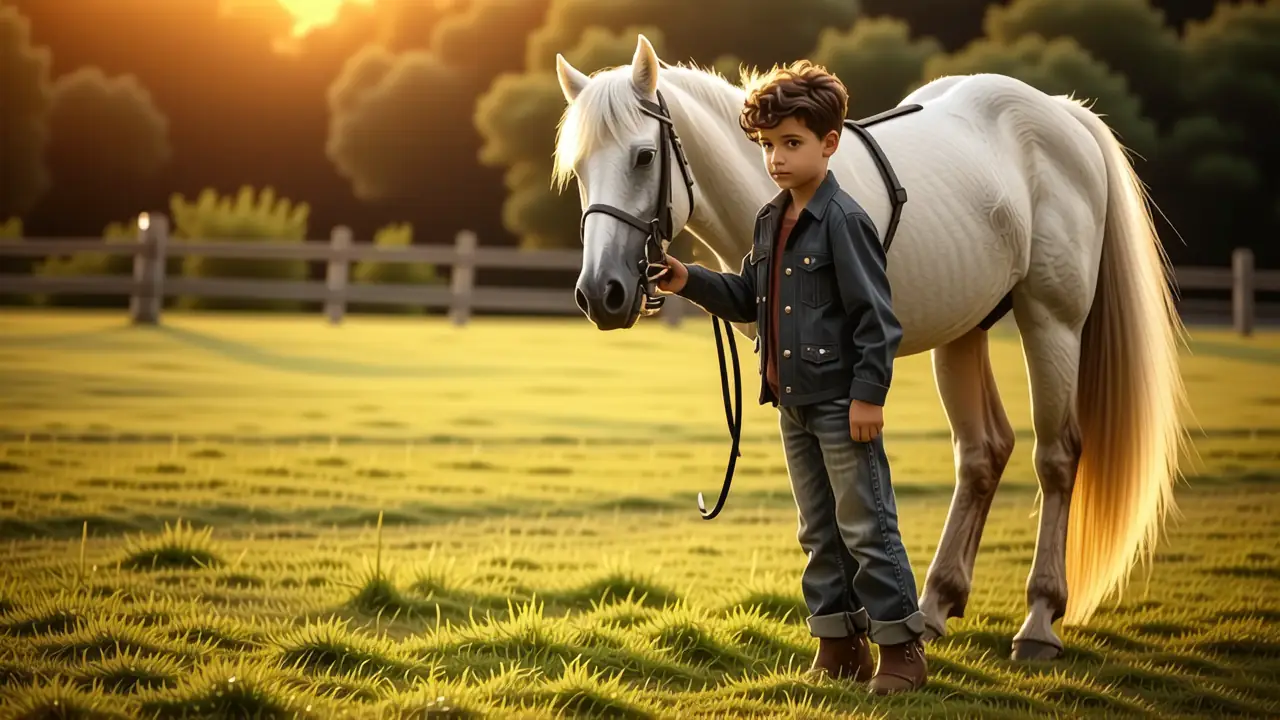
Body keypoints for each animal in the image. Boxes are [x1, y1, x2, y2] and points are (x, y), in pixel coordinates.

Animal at [552, 34, 1189, 660]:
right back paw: (935, 606)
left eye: (643, 156)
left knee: (1056, 456)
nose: (601, 293)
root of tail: (1061, 113)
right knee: (982, 453)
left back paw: (1038, 621)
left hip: (1052, 321)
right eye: (578, 167)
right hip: (963, 334)